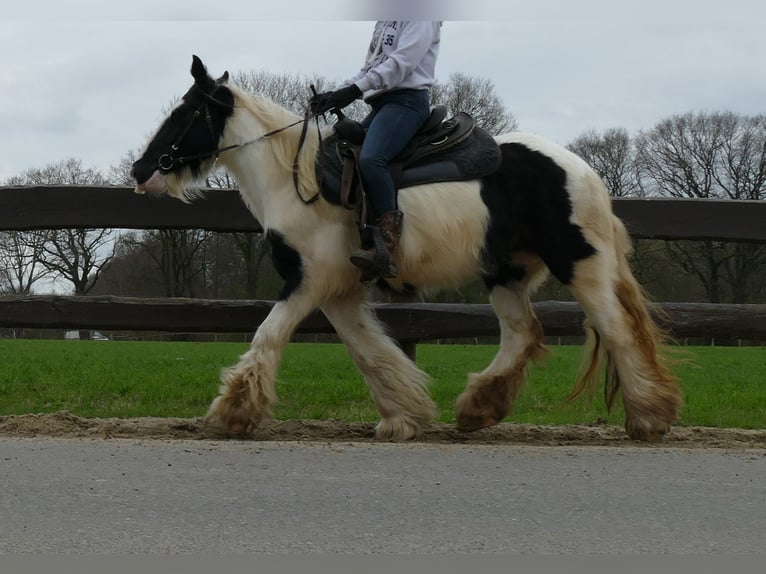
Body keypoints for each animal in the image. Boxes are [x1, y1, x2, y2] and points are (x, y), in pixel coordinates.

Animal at [132, 56, 684, 444]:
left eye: (186, 112)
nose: (141, 170)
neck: (295, 177)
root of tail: (582, 170)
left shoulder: (308, 281)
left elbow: (269, 336)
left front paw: (232, 412)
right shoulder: (337, 290)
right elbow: (370, 352)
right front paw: (404, 416)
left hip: (580, 263)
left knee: (617, 329)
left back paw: (649, 417)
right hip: (504, 272)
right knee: (523, 333)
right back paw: (478, 408)